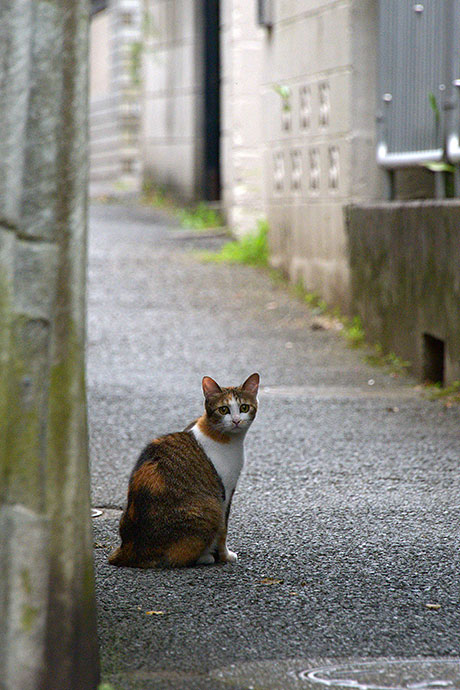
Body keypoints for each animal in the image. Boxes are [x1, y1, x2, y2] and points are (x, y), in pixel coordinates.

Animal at [108, 374, 258, 568]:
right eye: (224, 409)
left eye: (244, 407)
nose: (236, 420)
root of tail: (127, 549)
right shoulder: (224, 493)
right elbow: (223, 531)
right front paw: (225, 556)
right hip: (210, 508)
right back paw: (205, 557)